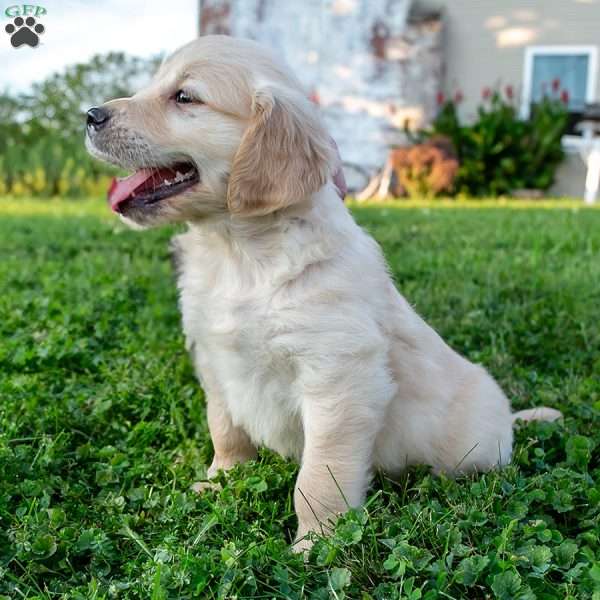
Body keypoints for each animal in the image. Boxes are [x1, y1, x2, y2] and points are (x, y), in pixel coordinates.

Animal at [85, 35, 564, 552]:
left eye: (184, 97)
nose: (90, 115)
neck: (239, 255)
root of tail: (508, 419)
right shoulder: (214, 359)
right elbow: (225, 427)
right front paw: (220, 481)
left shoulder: (338, 379)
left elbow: (319, 474)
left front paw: (317, 542)